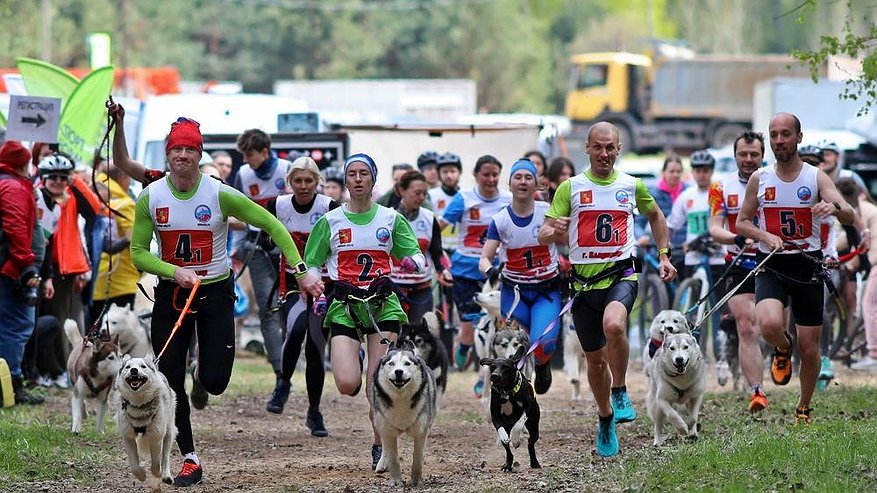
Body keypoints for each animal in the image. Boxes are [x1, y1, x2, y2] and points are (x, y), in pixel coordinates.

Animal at [370, 338, 438, 484]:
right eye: (391, 363)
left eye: (407, 363)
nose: (399, 372)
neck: (400, 398)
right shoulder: (387, 430)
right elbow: (393, 459)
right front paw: (396, 481)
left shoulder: (421, 430)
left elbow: (417, 457)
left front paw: (416, 480)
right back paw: (382, 462)